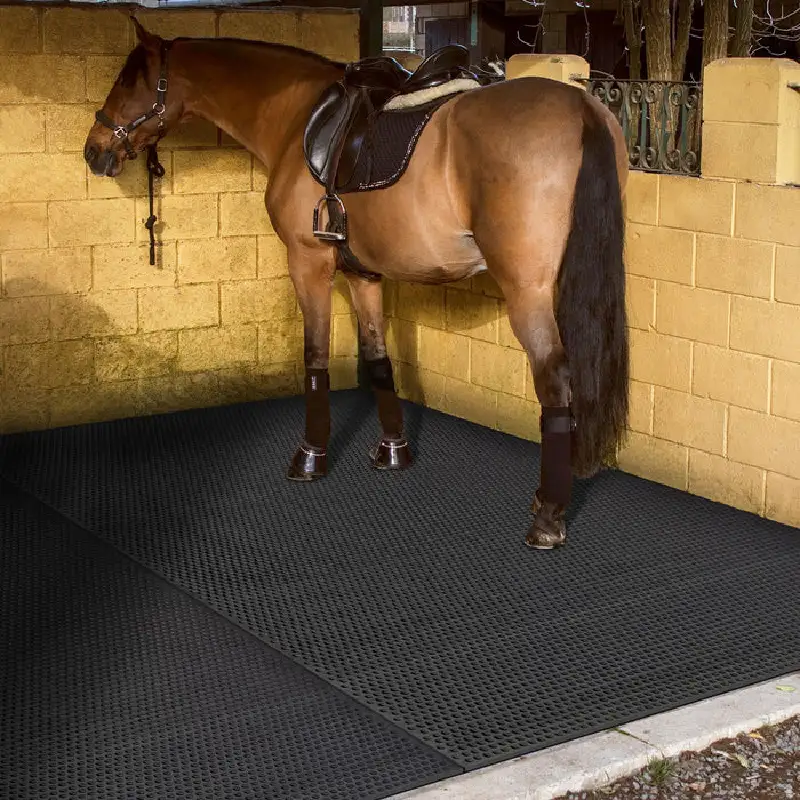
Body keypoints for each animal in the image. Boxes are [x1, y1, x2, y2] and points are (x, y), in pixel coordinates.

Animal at [84, 19, 630, 550]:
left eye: (128, 79)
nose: (94, 150)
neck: (297, 118)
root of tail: (581, 108)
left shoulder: (308, 264)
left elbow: (315, 357)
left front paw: (311, 456)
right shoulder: (364, 274)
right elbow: (378, 358)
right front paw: (394, 451)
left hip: (527, 291)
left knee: (555, 381)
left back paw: (548, 516)